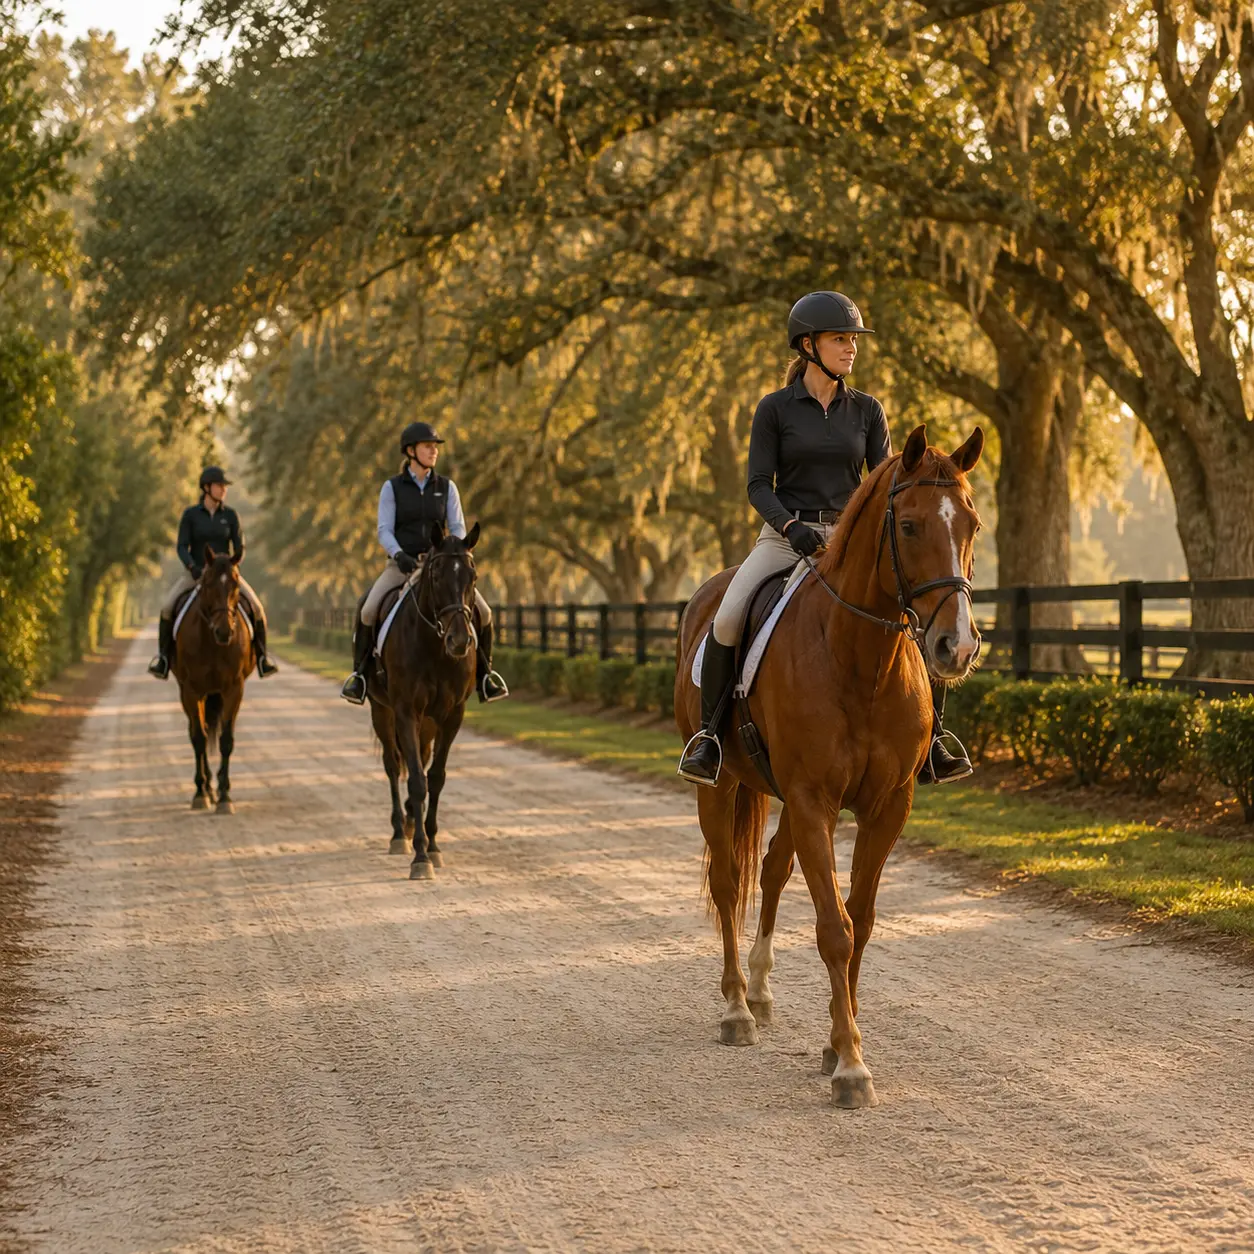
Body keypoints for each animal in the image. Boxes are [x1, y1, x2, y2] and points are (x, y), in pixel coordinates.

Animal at [171, 546, 255, 815]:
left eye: (235, 585)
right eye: (207, 583)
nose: (224, 631)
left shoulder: (234, 689)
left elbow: (226, 740)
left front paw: (225, 796)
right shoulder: (191, 691)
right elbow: (199, 738)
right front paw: (201, 793)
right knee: (198, 731)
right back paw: (207, 787)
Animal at [365, 521, 481, 880]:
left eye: (473, 576)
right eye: (437, 575)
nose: (459, 641)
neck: (435, 647)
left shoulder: (452, 715)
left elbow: (436, 777)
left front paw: (433, 845)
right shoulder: (405, 711)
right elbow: (416, 779)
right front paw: (419, 856)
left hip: (429, 722)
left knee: (422, 757)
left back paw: (409, 821)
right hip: (382, 711)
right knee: (392, 764)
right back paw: (398, 833)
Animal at [675, 424, 984, 1108]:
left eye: (972, 524)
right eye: (910, 525)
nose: (955, 647)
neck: (860, 660)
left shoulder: (885, 806)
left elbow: (859, 922)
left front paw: (839, 1043)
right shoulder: (815, 799)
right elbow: (833, 928)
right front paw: (849, 1067)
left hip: (787, 799)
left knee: (770, 869)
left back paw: (761, 991)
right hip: (723, 785)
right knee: (728, 881)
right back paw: (737, 1008)